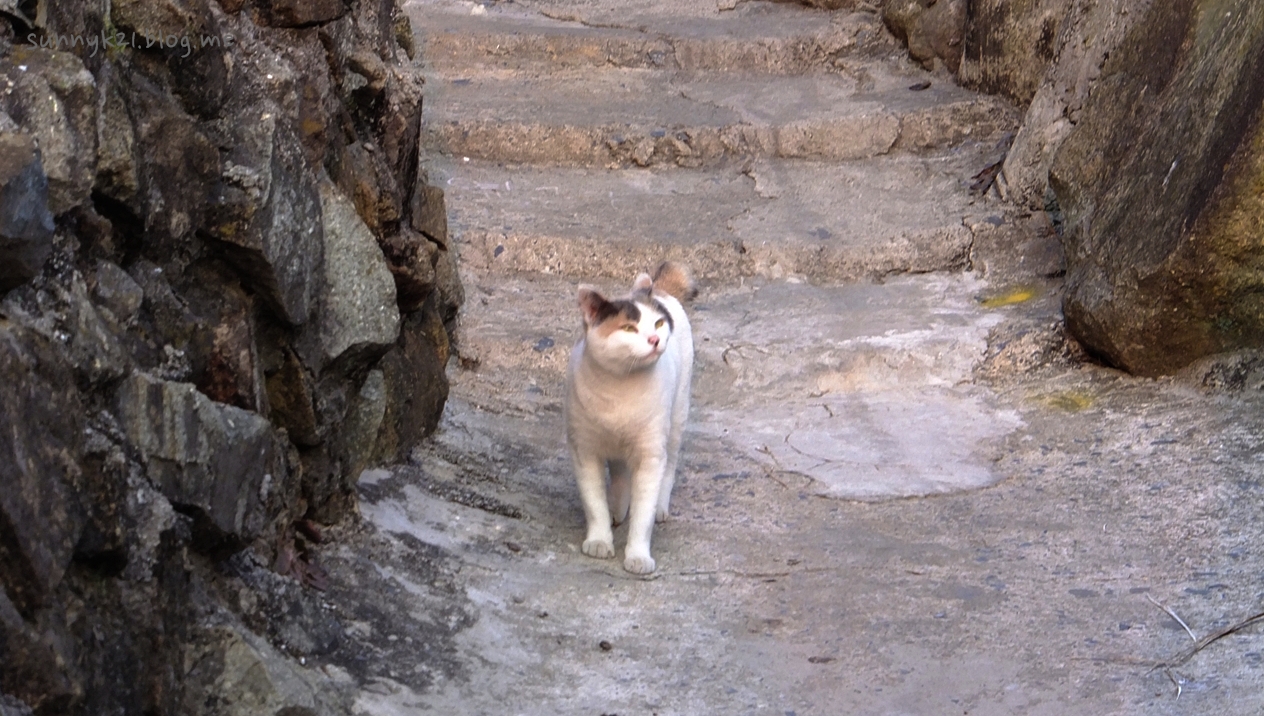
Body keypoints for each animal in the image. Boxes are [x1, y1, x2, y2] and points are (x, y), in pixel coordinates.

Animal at [568, 260, 697, 574]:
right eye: (628, 328)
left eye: (658, 324)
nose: (654, 339)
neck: (620, 388)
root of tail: (658, 289)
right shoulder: (584, 451)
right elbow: (594, 504)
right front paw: (599, 541)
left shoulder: (650, 455)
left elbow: (643, 515)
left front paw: (638, 556)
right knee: (619, 473)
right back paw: (617, 508)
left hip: (676, 419)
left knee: (669, 465)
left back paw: (659, 507)